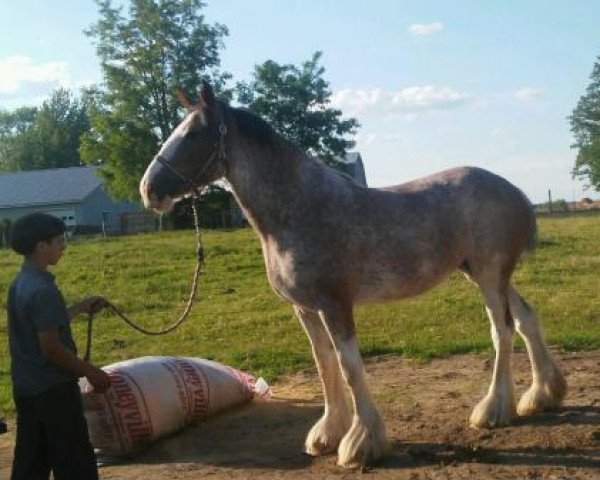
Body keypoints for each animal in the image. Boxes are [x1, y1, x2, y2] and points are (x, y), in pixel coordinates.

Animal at [139, 82, 568, 468]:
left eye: (193, 133)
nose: (149, 190)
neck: (299, 208)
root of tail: (514, 191)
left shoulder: (335, 304)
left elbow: (349, 367)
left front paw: (362, 442)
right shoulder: (304, 308)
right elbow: (324, 364)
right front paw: (328, 433)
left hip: (490, 275)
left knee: (502, 330)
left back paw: (493, 409)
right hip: (484, 274)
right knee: (526, 319)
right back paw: (541, 395)